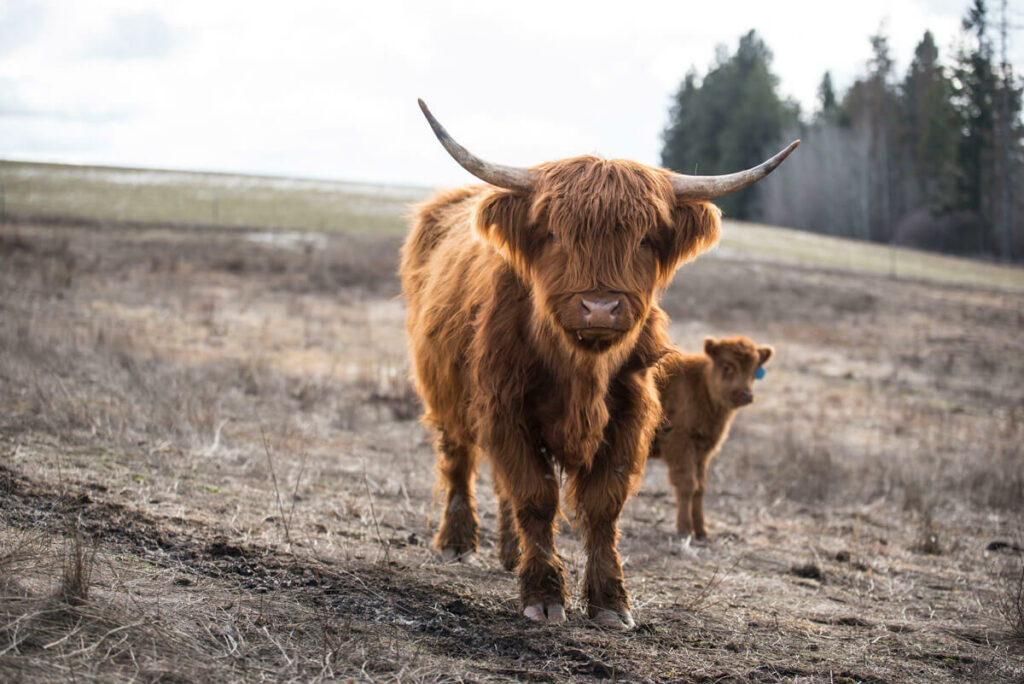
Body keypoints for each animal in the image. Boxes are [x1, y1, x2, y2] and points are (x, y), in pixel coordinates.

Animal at [651, 335, 770, 540]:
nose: (746, 394)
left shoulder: (703, 450)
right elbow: (687, 484)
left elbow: (700, 487)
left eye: (755, 370)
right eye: (727, 366)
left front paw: (701, 531)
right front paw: (684, 529)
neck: (700, 386)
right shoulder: (680, 444)